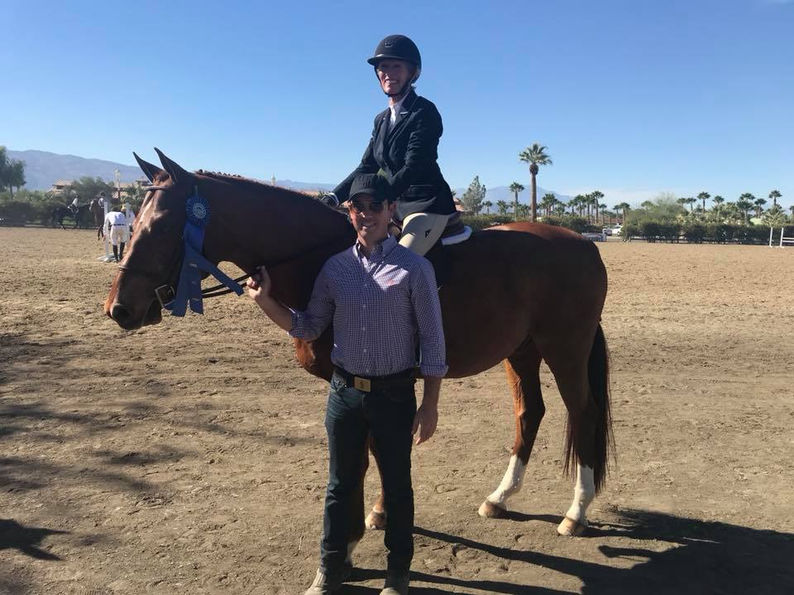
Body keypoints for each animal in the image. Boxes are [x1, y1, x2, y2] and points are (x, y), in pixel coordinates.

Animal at [105, 149, 613, 547]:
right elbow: (367, 452)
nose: (119, 308)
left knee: (582, 410)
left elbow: (379, 449)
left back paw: (576, 513)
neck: (321, 260)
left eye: (163, 224)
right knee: (530, 412)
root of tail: (583, 244)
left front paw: (375, 516)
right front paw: (374, 513)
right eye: (135, 221)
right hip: (521, 351)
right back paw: (500, 498)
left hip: (565, 347)